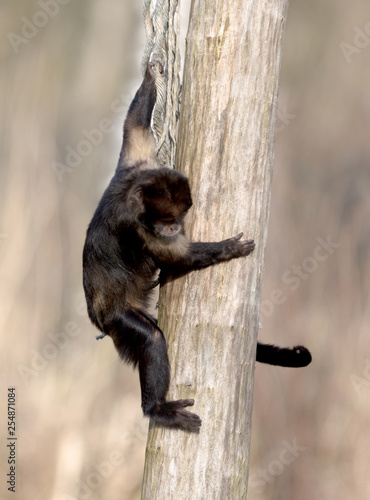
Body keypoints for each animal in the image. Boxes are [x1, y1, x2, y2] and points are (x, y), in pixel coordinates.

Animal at [82, 61, 310, 430]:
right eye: (165, 219)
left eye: (177, 215)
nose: (172, 225)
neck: (132, 192)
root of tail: (98, 317)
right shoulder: (138, 225)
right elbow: (178, 256)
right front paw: (228, 249)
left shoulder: (137, 166)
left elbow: (135, 127)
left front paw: (152, 76)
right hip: (117, 318)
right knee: (150, 339)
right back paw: (156, 408)